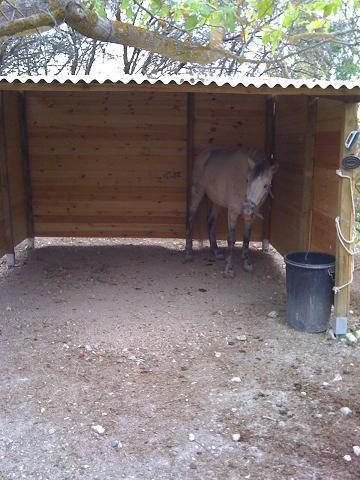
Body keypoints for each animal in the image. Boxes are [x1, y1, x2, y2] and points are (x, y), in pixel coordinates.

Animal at [186, 148, 278, 280]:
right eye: (247, 180)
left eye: (266, 185)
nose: (247, 208)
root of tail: (205, 154)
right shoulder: (232, 213)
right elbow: (231, 239)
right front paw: (229, 269)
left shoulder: (250, 218)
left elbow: (246, 238)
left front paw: (247, 263)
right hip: (197, 192)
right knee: (190, 218)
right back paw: (188, 253)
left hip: (217, 202)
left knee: (210, 220)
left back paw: (216, 251)